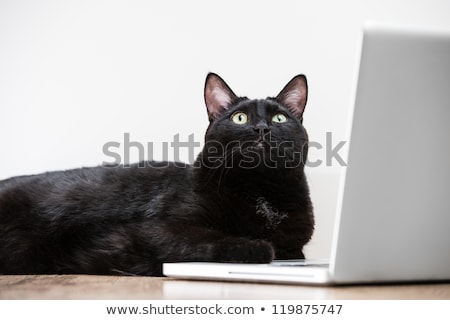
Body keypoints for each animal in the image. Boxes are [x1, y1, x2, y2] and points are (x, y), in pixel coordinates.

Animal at [0, 74, 312, 276]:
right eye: (240, 118)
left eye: (279, 118)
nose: (261, 129)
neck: (261, 191)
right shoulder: (158, 229)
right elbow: (211, 238)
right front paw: (257, 247)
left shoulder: (295, 246)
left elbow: (294, 252)